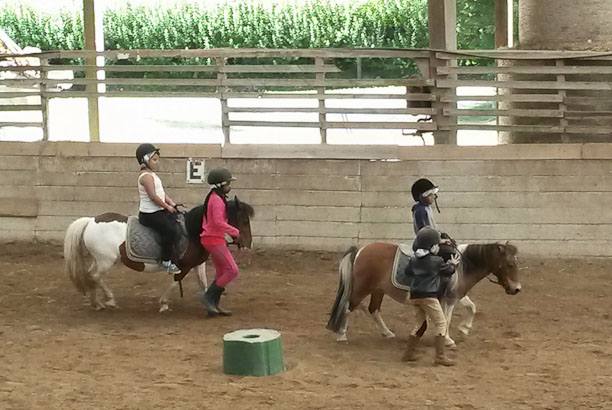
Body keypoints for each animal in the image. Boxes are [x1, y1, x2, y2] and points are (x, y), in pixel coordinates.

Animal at [62, 198, 253, 310]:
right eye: (244, 220)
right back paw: (109, 300)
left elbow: (203, 283)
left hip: (99, 259)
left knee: (91, 275)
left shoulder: (198, 264)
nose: (248, 243)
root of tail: (90, 221)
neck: (192, 231)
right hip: (106, 260)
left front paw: (210, 303)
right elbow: (175, 283)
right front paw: (164, 303)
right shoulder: (183, 266)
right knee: (94, 276)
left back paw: (97, 303)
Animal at [328, 242, 520, 348]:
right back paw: (341, 335)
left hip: (378, 290)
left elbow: (471, 307)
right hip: (361, 288)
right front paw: (448, 339)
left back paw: (387, 333)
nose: (517, 289)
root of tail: (360, 250)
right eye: (510, 264)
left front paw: (464, 328)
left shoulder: (456, 295)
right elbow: (447, 319)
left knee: (373, 309)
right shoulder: (449, 299)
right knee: (347, 307)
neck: (460, 266)